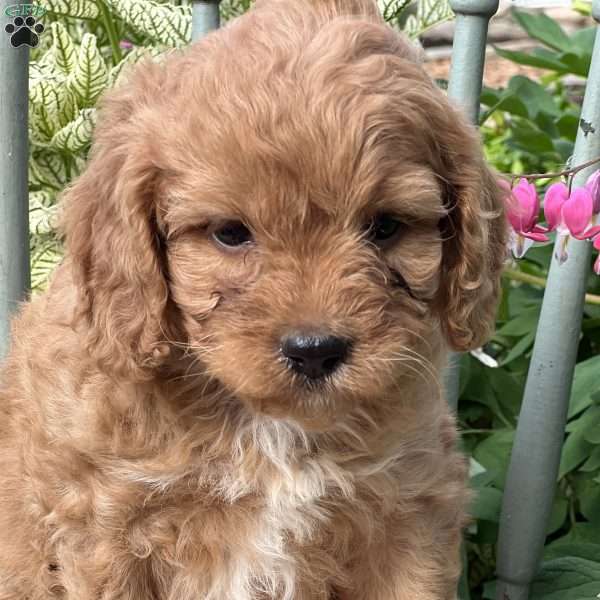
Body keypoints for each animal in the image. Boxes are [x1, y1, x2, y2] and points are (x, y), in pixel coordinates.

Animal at [0, 0, 506, 596]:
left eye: (385, 227)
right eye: (229, 233)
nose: (315, 351)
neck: (265, 425)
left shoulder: (410, 509)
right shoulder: (106, 528)